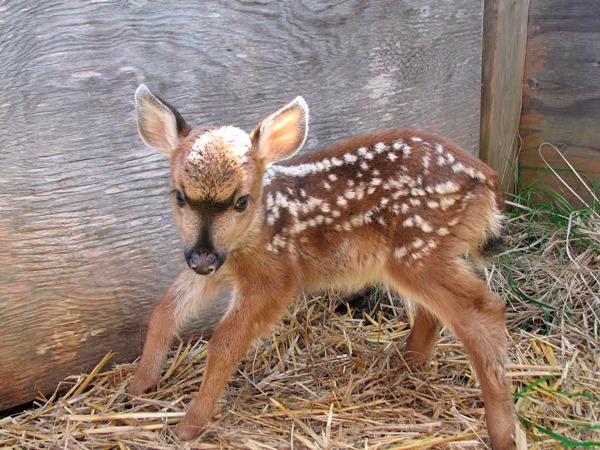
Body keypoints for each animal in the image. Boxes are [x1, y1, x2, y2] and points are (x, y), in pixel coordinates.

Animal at [129, 85, 516, 450]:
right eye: (179, 196)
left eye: (241, 201)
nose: (202, 259)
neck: (257, 229)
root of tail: (488, 179)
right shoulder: (219, 266)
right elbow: (164, 311)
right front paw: (137, 387)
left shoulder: (276, 276)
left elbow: (225, 343)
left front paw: (189, 425)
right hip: (419, 255)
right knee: (438, 312)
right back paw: (404, 362)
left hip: (419, 247)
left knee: (484, 308)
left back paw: (503, 432)